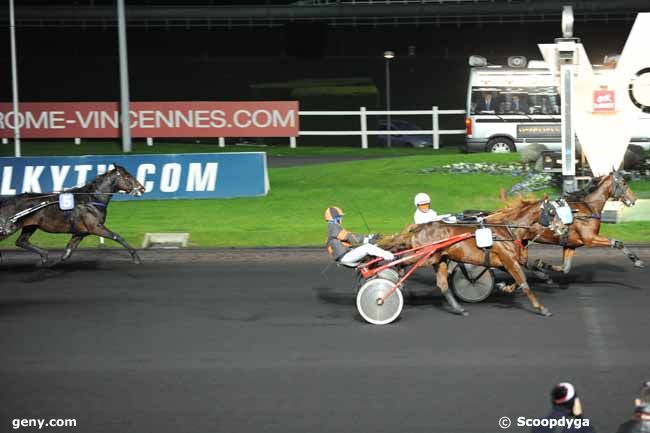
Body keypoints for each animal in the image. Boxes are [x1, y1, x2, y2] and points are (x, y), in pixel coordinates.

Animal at [0, 165, 144, 264]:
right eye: (127, 176)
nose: (142, 188)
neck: (92, 199)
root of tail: (7, 201)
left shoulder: (80, 232)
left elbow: (67, 253)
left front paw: (53, 261)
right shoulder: (95, 227)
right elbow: (117, 237)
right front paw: (136, 257)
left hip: (30, 225)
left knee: (21, 241)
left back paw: (44, 255)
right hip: (9, 227)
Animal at [378, 197, 564, 316]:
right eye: (551, 212)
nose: (563, 228)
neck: (507, 230)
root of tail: (418, 227)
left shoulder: (506, 261)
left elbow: (522, 275)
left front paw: (507, 286)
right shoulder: (508, 259)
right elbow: (524, 282)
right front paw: (541, 308)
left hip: (438, 259)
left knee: (442, 284)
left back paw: (459, 309)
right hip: (425, 256)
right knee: (401, 261)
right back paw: (394, 282)